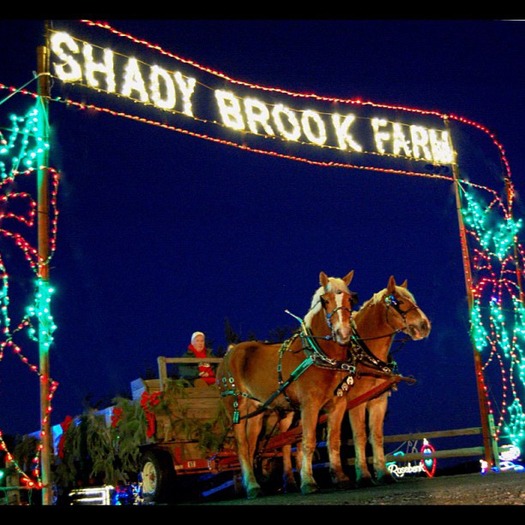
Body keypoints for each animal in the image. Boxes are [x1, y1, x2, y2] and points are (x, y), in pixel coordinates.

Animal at [216, 272, 356, 498]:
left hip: (256, 412)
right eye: (325, 301)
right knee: (242, 447)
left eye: (351, 299)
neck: (320, 355)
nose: (343, 334)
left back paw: (254, 484)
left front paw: (341, 478)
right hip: (235, 408)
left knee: (251, 446)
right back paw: (252, 487)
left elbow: (334, 441)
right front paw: (308, 482)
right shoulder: (309, 405)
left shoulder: (338, 404)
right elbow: (308, 441)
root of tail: (230, 352)